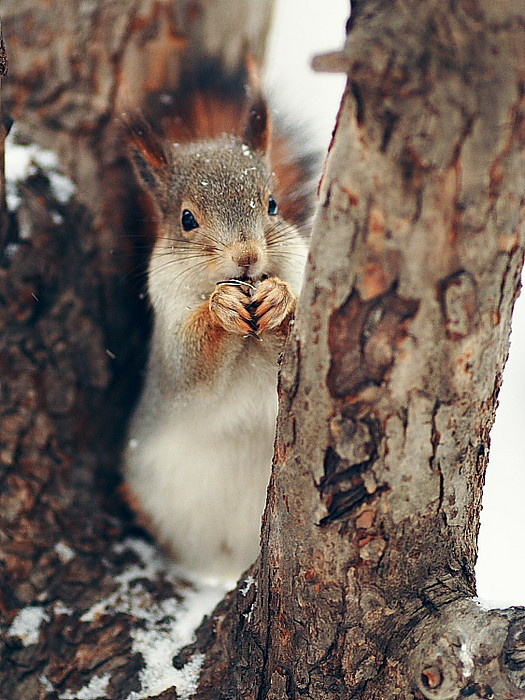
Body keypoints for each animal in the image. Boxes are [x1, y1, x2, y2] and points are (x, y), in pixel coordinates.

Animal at [122, 61, 316, 580]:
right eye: (187, 219)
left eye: (273, 205)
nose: (247, 258)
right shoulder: (168, 340)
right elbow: (191, 365)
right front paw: (220, 309)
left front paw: (278, 298)